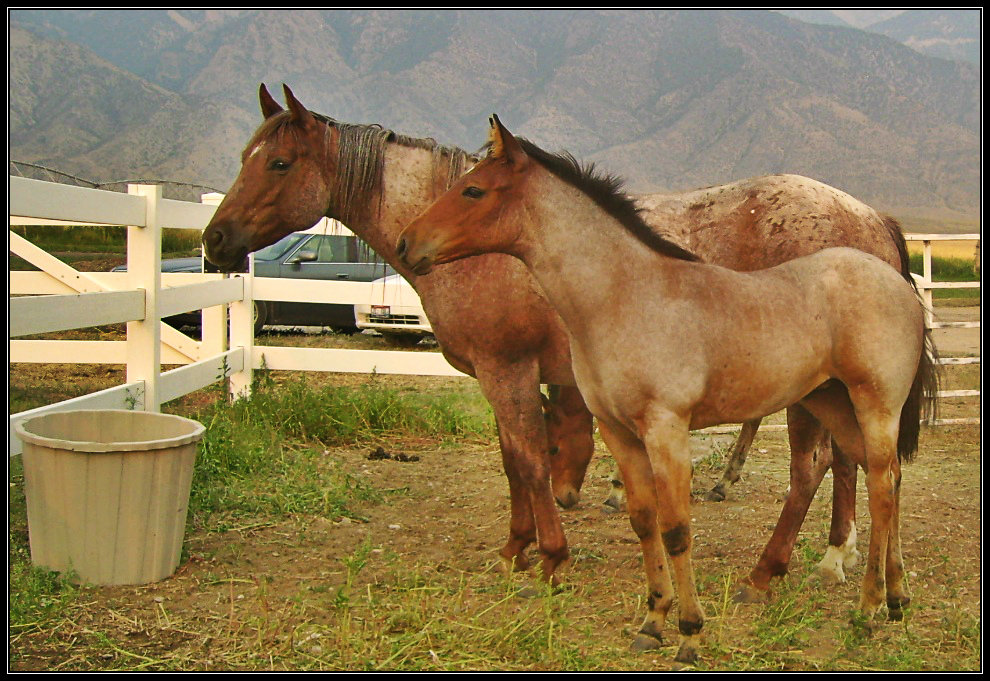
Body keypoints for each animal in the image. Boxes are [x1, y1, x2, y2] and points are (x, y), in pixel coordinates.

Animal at [203, 83, 924, 596]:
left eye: (279, 162)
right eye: (242, 158)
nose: (214, 241)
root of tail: (868, 216)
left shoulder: (509, 368)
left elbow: (528, 461)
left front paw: (549, 557)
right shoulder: (506, 376)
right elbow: (512, 459)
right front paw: (517, 547)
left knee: (815, 466)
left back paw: (773, 570)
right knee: (849, 462)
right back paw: (836, 556)